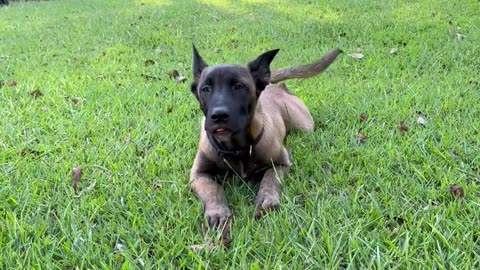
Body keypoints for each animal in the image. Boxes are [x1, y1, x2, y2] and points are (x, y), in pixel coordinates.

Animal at [188, 44, 342, 243]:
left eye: (238, 86)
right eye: (205, 88)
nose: (219, 116)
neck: (237, 149)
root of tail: (274, 86)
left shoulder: (281, 163)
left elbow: (270, 179)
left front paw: (266, 200)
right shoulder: (198, 174)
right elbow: (212, 188)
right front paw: (218, 212)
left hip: (304, 125)